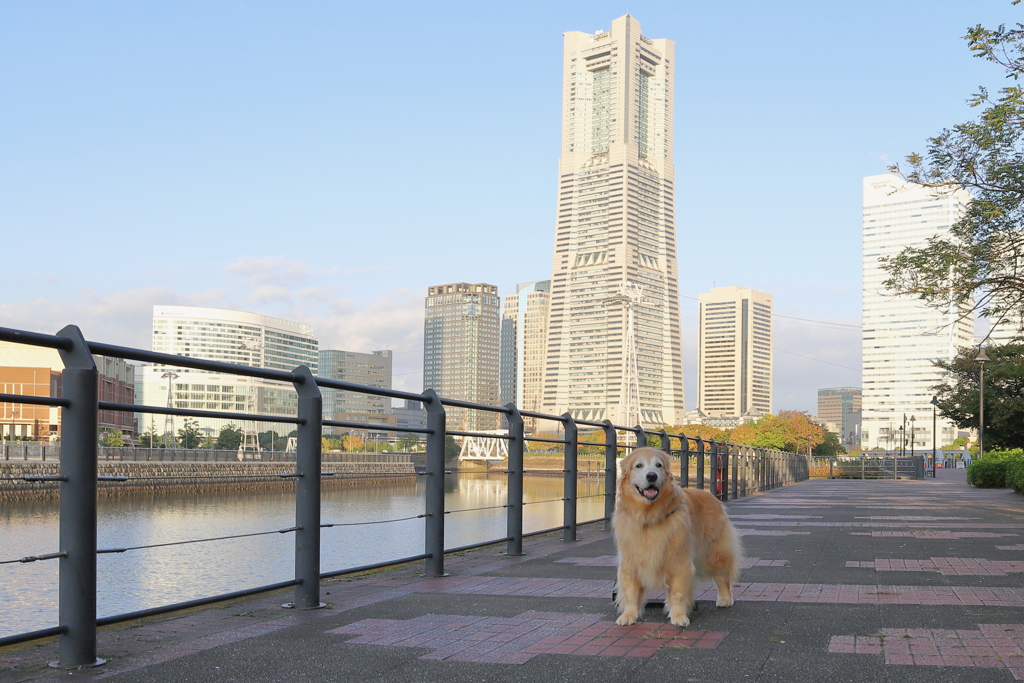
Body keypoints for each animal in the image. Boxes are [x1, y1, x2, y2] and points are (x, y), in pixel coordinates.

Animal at [610, 446, 741, 626]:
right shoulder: (630, 562)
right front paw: (629, 615)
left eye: (658, 465)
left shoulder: (679, 561)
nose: (652, 476)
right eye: (638, 465)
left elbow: (678, 592)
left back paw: (725, 599)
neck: (649, 517)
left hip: (714, 552)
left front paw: (679, 616)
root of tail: (712, 496)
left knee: (722, 576)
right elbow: (630, 591)